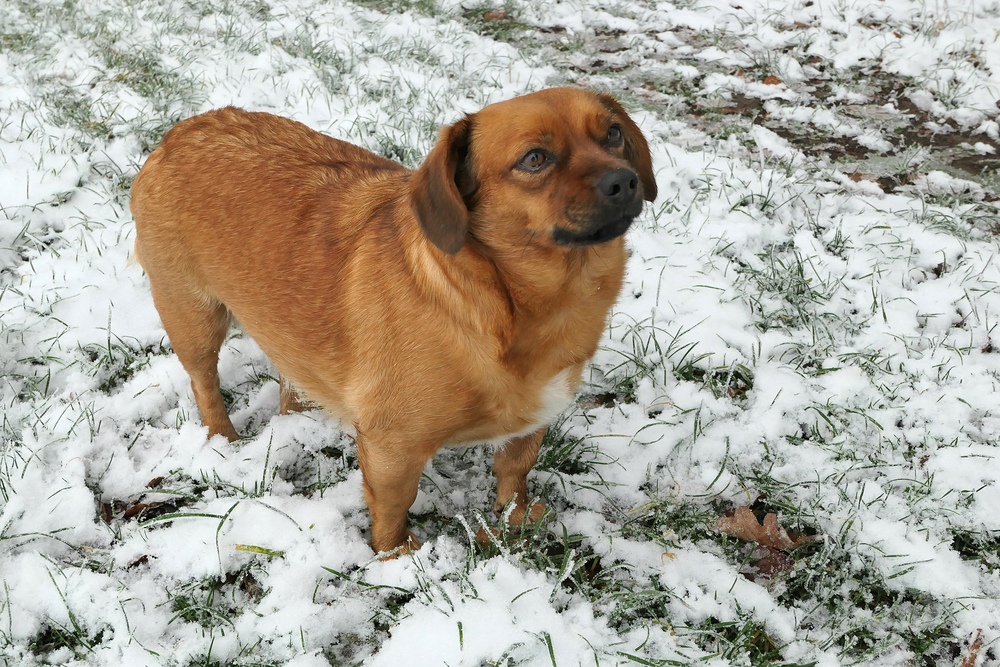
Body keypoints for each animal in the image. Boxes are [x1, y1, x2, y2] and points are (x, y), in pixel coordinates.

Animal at [131, 88, 656, 560]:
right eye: (535, 159)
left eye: (613, 133)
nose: (625, 181)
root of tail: (181, 131)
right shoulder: (393, 447)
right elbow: (394, 503)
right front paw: (395, 558)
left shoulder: (534, 419)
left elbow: (515, 469)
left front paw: (515, 520)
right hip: (193, 315)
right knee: (204, 381)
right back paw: (223, 441)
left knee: (289, 378)